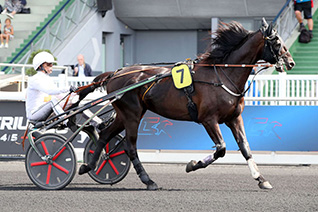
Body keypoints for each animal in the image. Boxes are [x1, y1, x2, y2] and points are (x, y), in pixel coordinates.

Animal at [76, 19, 294, 190]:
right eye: (276, 41)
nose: (290, 62)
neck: (222, 75)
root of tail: (115, 73)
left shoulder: (234, 118)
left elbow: (245, 148)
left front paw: (261, 179)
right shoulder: (208, 119)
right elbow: (221, 148)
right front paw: (193, 164)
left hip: (125, 114)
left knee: (105, 134)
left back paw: (88, 166)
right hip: (132, 115)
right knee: (130, 146)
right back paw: (148, 180)